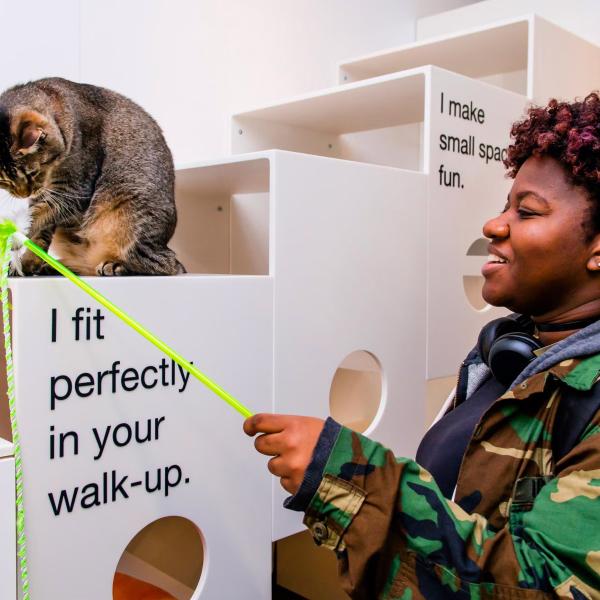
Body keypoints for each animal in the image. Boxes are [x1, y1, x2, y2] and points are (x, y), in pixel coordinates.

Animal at [0, 77, 185, 275]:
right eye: (3, 182)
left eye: (32, 173)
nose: (24, 194)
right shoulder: (47, 194)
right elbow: (39, 233)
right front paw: (27, 263)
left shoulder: (74, 190)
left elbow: (36, 218)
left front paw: (13, 236)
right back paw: (51, 266)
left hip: (131, 210)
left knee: (162, 264)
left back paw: (115, 265)